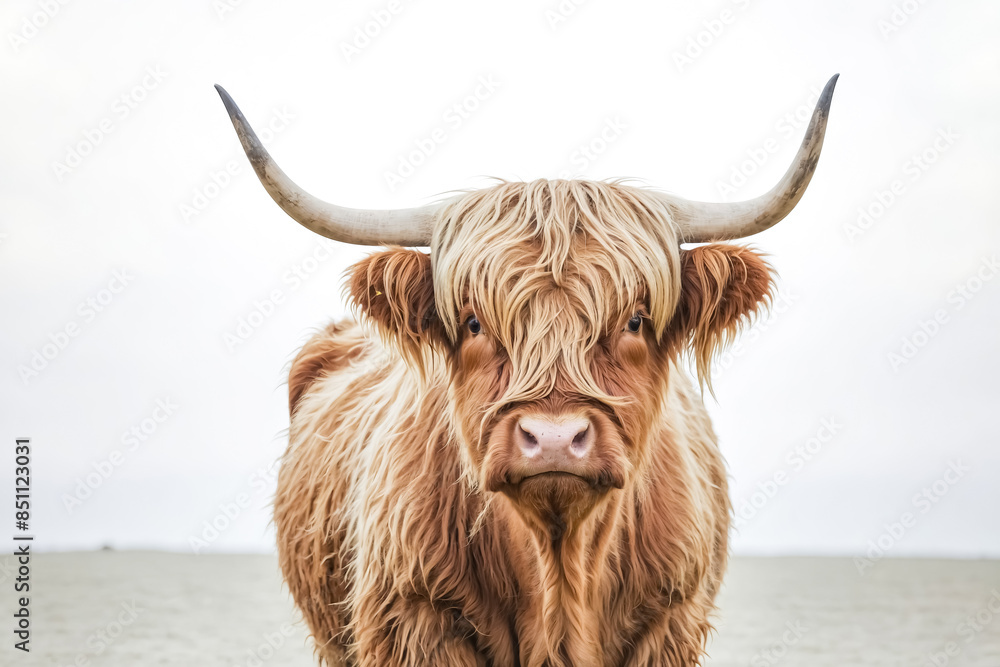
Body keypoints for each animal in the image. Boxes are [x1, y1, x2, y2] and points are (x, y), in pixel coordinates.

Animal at [215, 74, 838, 666]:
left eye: (636, 319)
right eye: (472, 322)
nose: (555, 439)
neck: (557, 569)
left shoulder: (668, 622)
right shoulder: (416, 619)